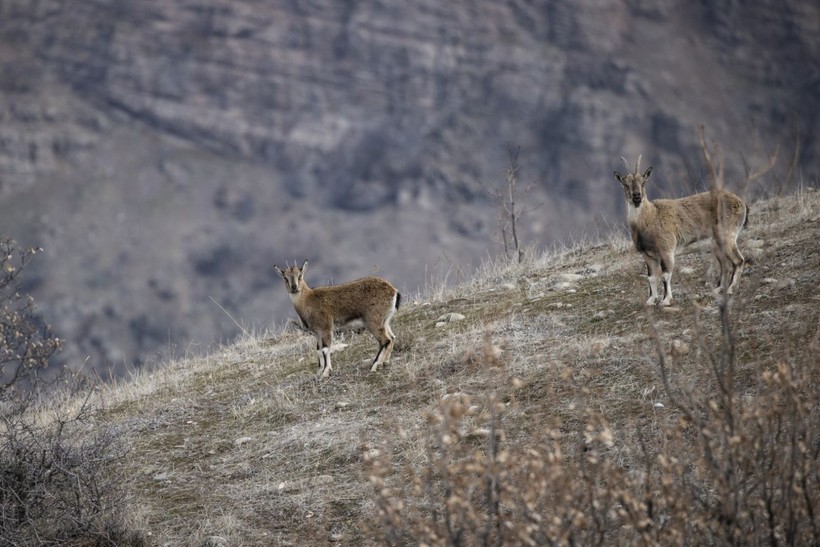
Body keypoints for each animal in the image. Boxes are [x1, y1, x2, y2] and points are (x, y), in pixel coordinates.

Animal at [612, 156, 748, 306]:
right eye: (625, 184)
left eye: (643, 182)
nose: (637, 196)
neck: (650, 218)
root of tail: (740, 203)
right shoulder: (647, 255)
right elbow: (651, 277)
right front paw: (651, 300)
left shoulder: (666, 251)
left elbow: (665, 276)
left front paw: (665, 300)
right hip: (716, 245)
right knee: (725, 264)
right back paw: (718, 289)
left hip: (728, 237)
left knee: (738, 260)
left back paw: (730, 289)